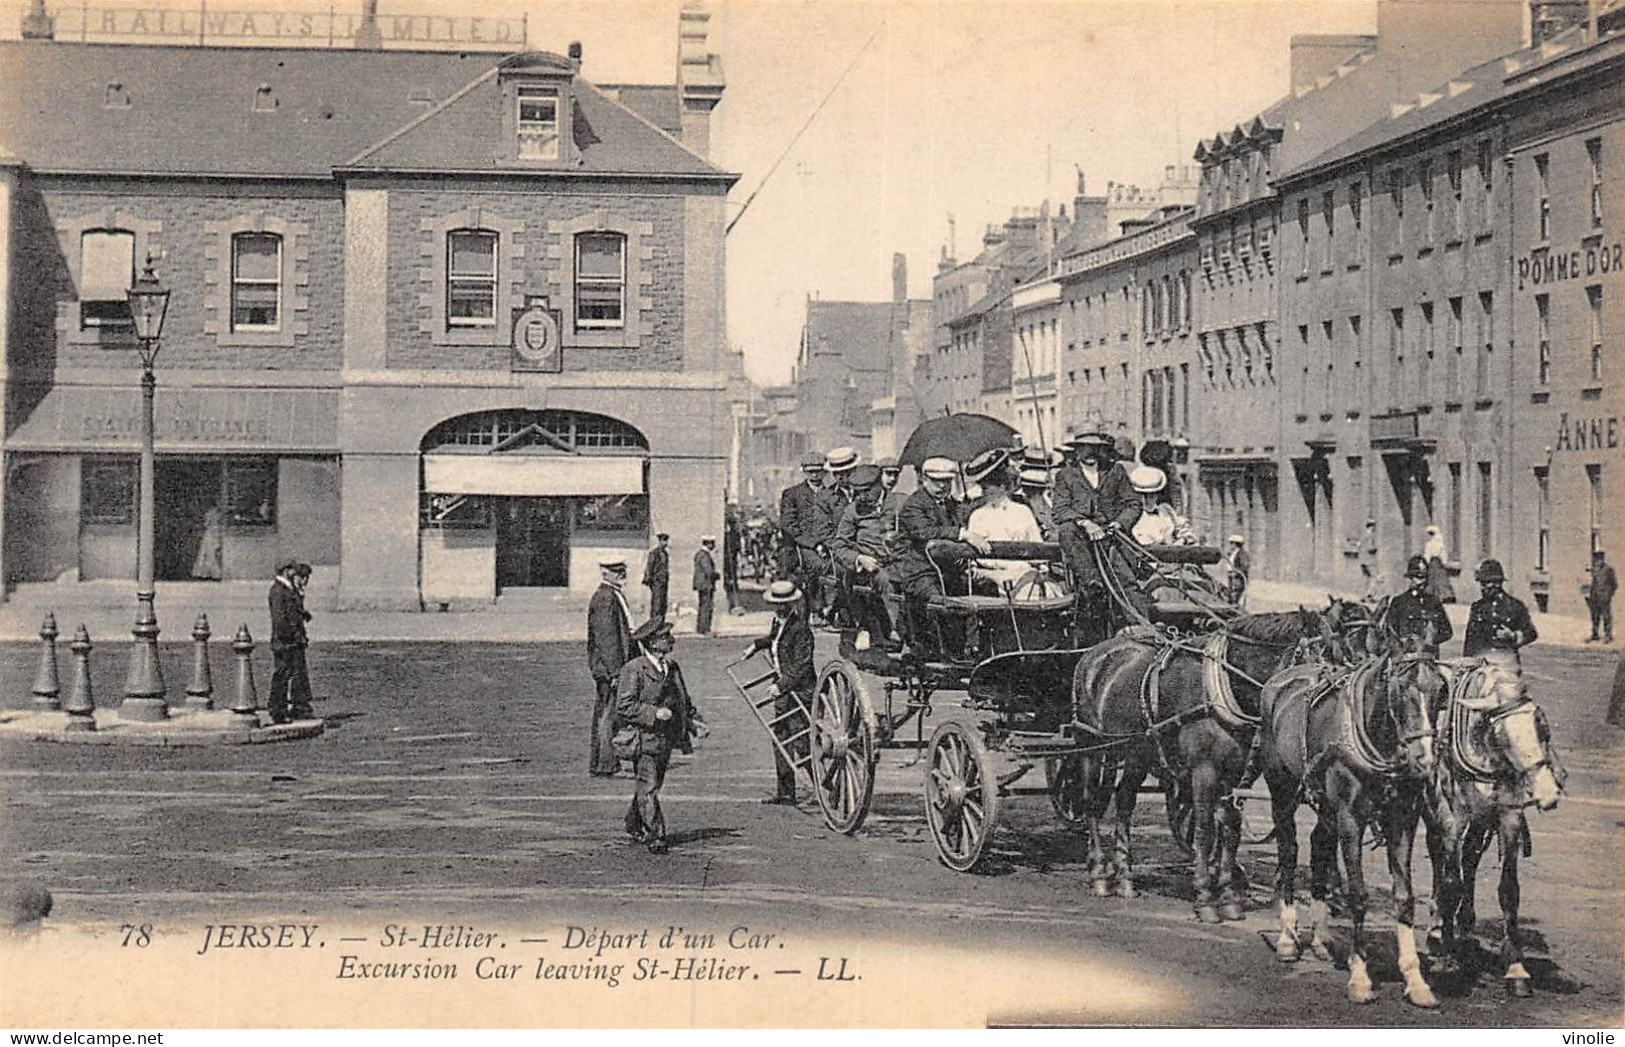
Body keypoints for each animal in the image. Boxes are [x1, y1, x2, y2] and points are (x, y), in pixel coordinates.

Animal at [1066, 608, 1332, 923]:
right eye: (1312, 661)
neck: (1223, 687)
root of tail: (1093, 654)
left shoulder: (1235, 775)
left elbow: (1230, 829)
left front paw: (1229, 897)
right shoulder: (1203, 772)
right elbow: (1205, 830)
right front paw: (1205, 897)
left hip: (1136, 754)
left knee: (1124, 803)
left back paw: (1125, 877)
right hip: (1091, 746)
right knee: (1090, 802)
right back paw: (1099, 874)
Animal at [1254, 624, 1449, 1007]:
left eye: (1441, 689)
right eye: (1400, 689)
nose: (1424, 760)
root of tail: (1281, 679)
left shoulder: (1403, 820)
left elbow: (1404, 898)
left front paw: (1415, 978)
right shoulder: (1350, 819)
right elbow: (1357, 895)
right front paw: (1360, 977)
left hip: (1325, 806)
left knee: (1319, 846)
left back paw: (1320, 938)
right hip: (1282, 791)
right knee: (1288, 852)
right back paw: (1287, 937)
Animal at [1430, 653, 1566, 994]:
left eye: (1540, 725)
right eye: (1501, 733)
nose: (1547, 794)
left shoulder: (1508, 815)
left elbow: (1508, 889)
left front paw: (1515, 966)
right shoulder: (1452, 818)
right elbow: (1450, 883)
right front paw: (1446, 960)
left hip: (1481, 821)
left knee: (1470, 861)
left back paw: (1466, 929)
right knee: (1441, 860)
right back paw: (1439, 929)